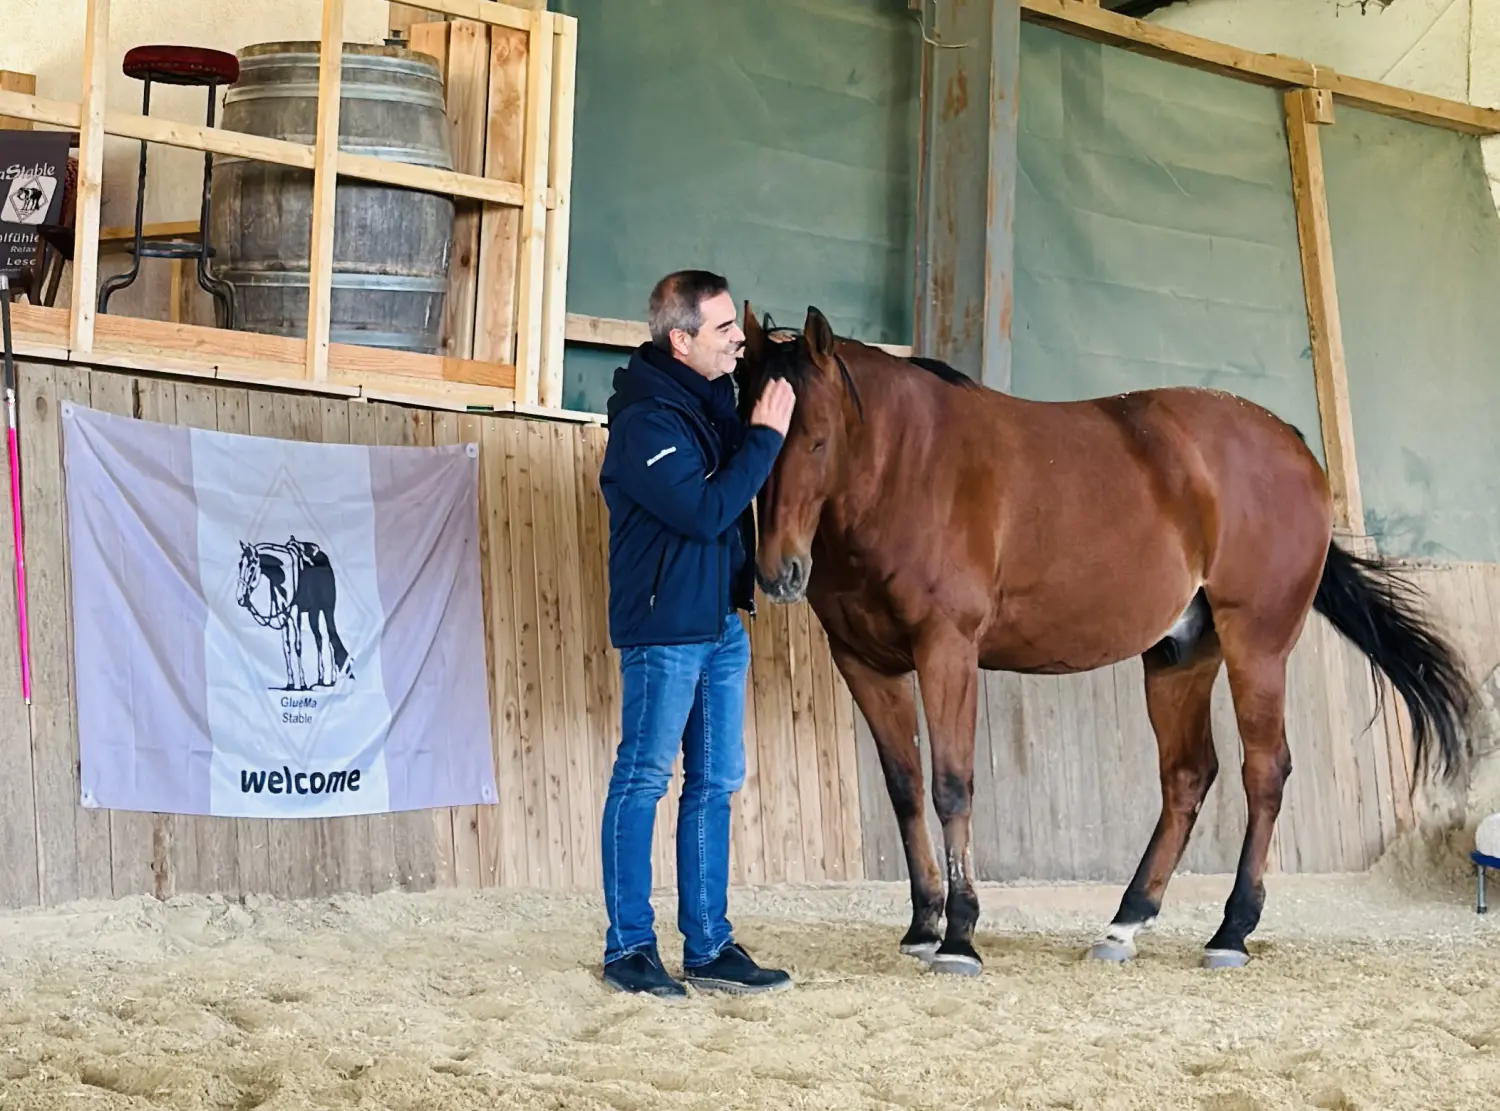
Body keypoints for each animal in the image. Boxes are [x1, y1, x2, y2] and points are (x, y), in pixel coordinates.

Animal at [732, 301, 1470, 971]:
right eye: (747, 427)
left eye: (819, 437)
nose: (778, 571)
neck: (908, 468)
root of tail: (1291, 443)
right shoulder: (866, 663)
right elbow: (906, 787)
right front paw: (922, 924)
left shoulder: (948, 650)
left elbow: (951, 786)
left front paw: (960, 936)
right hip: (1179, 654)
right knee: (1187, 776)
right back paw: (1125, 923)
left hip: (1255, 646)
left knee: (1264, 770)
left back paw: (1230, 931)